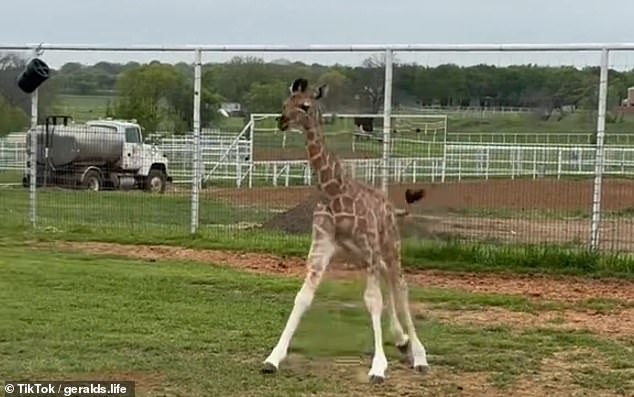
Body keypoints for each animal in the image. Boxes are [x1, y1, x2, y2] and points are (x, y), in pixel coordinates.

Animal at [258, 76, 430, 382]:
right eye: (285, 102)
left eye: (305, 105)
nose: (281, 121)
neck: (334, 193)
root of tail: (391, 207)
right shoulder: (321, 251)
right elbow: (302, 298)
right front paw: (273, 358)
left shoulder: (370, 250)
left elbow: (372, 300)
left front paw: (378, 367)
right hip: (362, 255)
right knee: (389, 283)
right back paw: (401, 340)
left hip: (389, 246)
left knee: (401, 286)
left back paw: (420, 356)